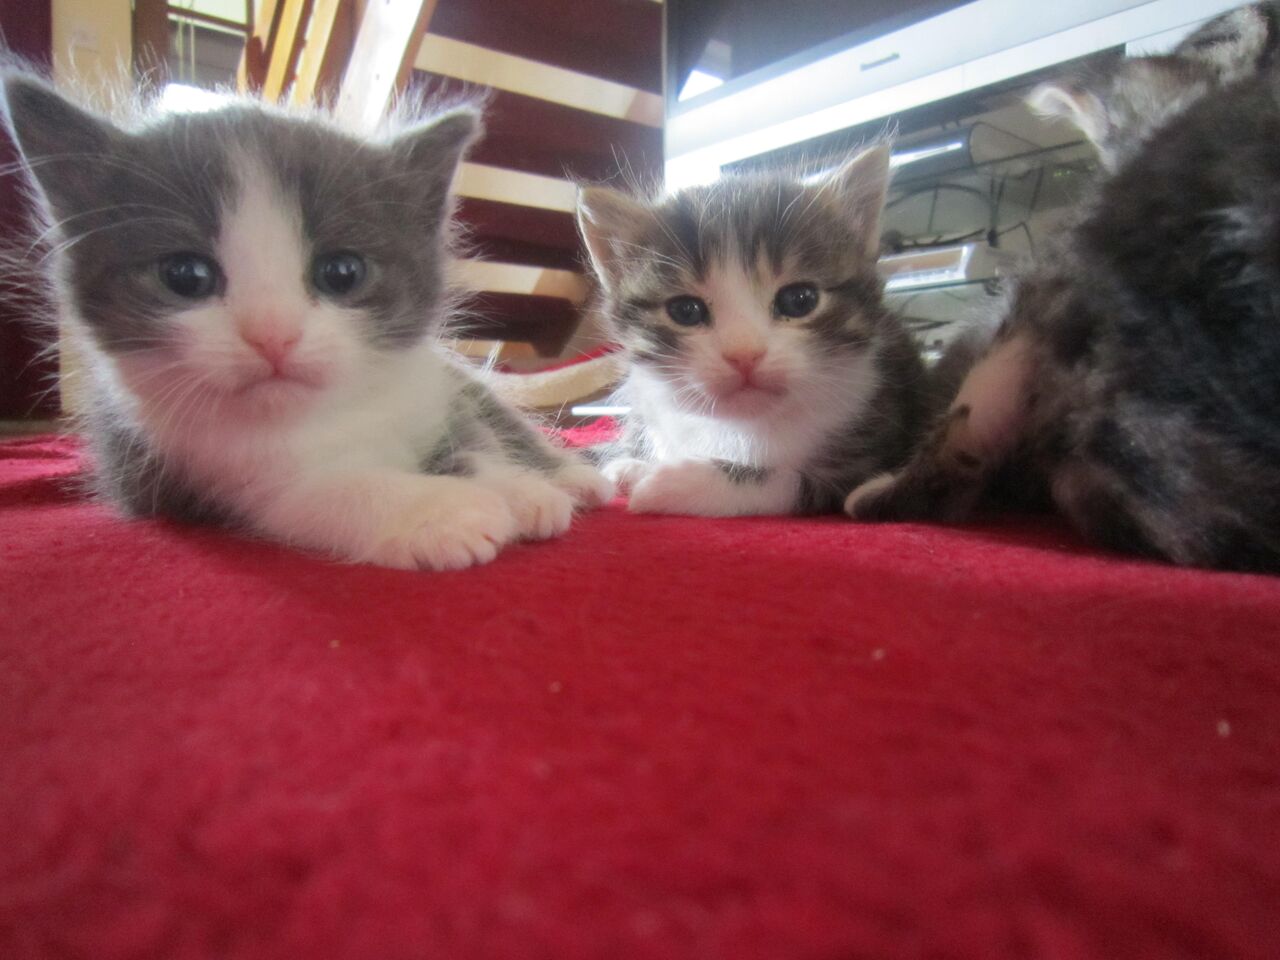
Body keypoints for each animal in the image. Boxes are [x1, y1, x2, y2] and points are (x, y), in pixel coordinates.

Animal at [1, 73, 612, 570]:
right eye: (186, 275)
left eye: (341, 272)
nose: (272, 334)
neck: (335, 411)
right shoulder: (201, 473)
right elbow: (318, 492)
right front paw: (441, 512)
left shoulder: (435, 392)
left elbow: (472, 440)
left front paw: (520, 491)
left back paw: (575, 478)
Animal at [576, 145, 927, 517]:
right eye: (685, 311)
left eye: (799, 300)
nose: (744, 354)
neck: (741, 425)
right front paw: (632, 467)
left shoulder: (868, 453)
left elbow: (788, 481)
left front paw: (672, 484)